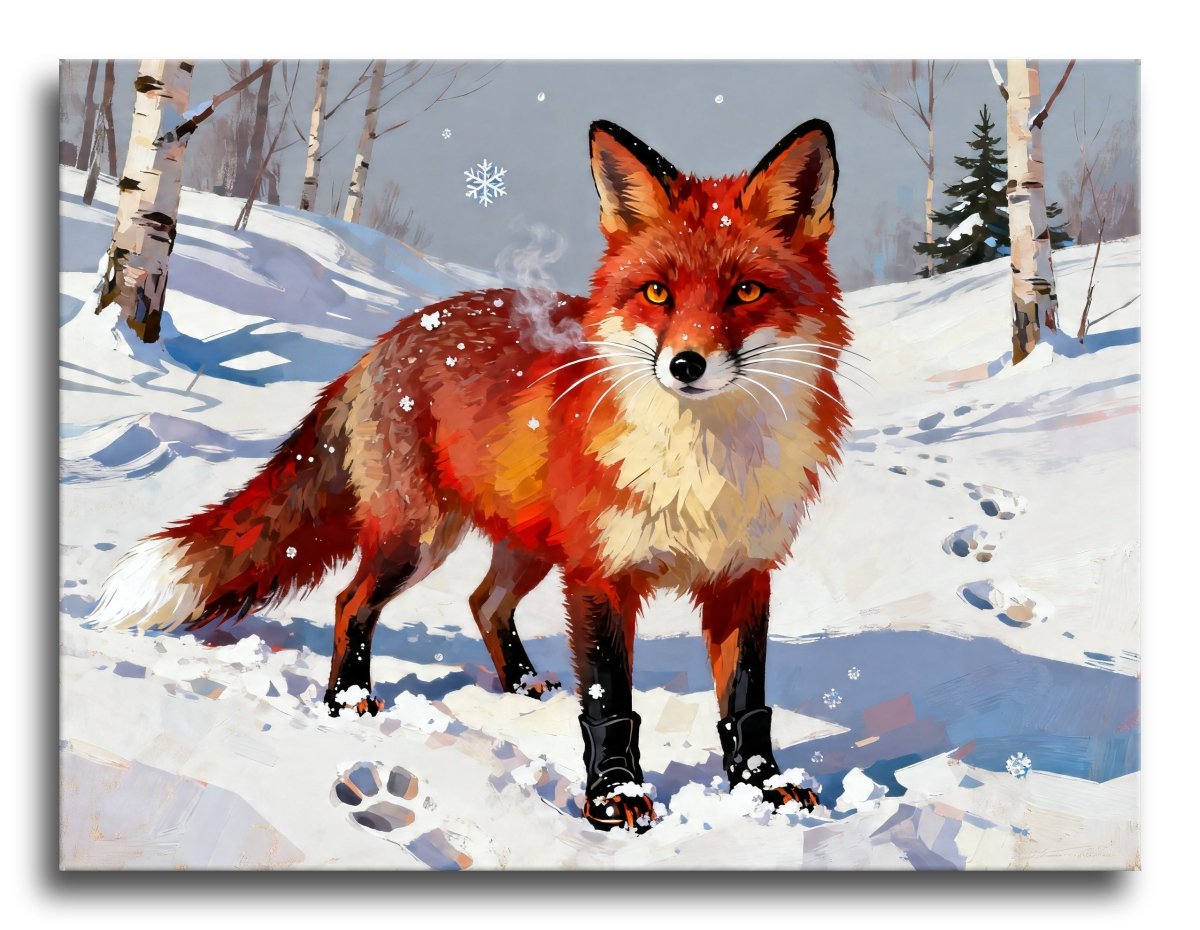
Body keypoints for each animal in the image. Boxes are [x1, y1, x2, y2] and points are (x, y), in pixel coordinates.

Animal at [90, 118, 851, 833]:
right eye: (657, 293)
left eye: (746, 290)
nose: (686, 365)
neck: (707, 464)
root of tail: (386, 340)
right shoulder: (600, 574)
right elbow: (611, 701)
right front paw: (616, 800)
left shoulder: (742, 573)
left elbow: (746, 703)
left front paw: (764, 789)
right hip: (419, 538)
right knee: (351, 603)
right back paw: (349, 701)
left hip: (527, 547)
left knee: (483, 604)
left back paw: (522, 686)